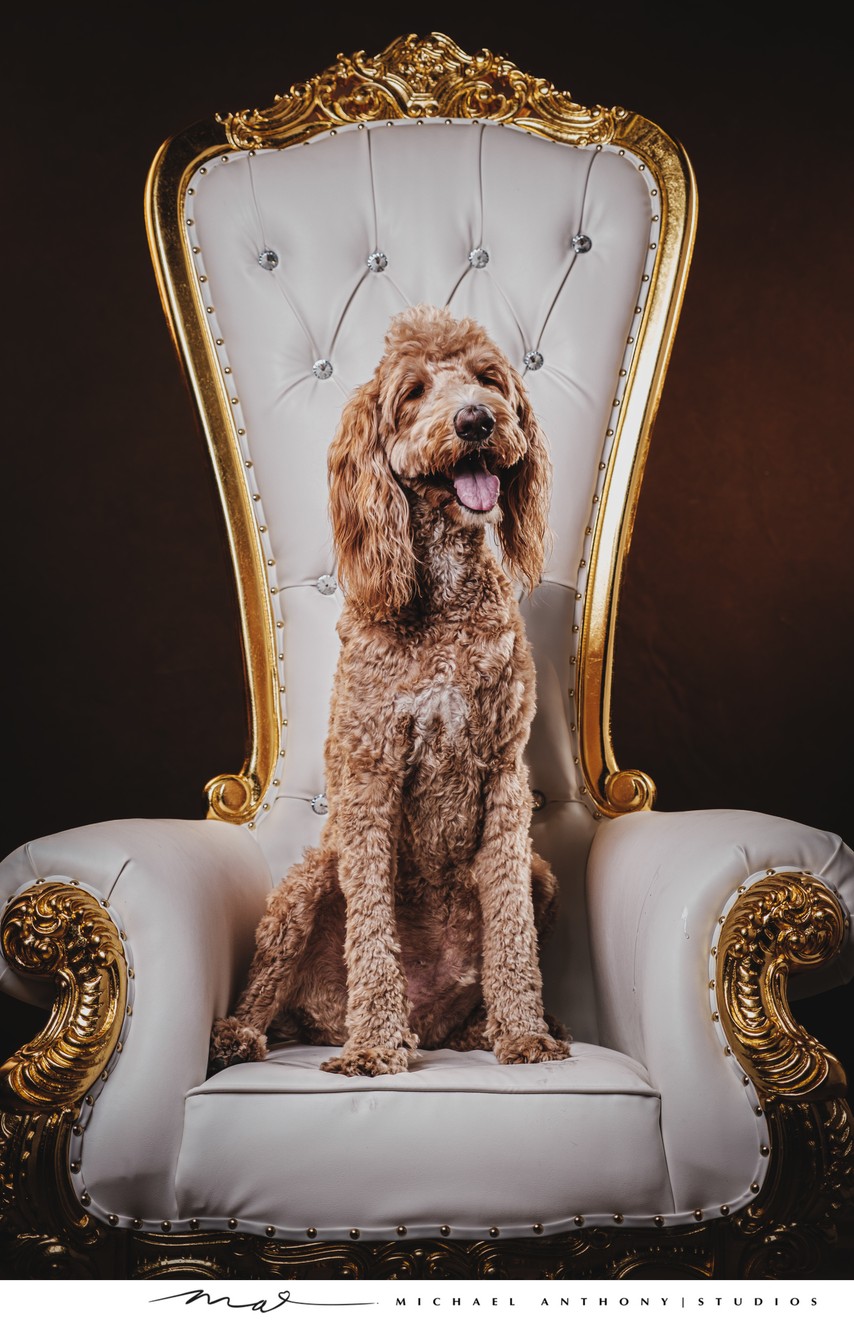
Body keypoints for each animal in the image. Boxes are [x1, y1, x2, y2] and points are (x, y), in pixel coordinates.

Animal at [208, 304, 568, 1078]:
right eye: (414, 393)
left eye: (488, 378)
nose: (476, 420)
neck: (445, 603)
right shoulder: (371, 774)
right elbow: (372, 931)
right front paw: (374, 1044)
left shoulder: (505, 779)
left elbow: (513, 931)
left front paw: (525, 1034)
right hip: (311, 878)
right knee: (267, 985)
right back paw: (246, 1035)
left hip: (543, 873)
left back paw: (483, 1029)